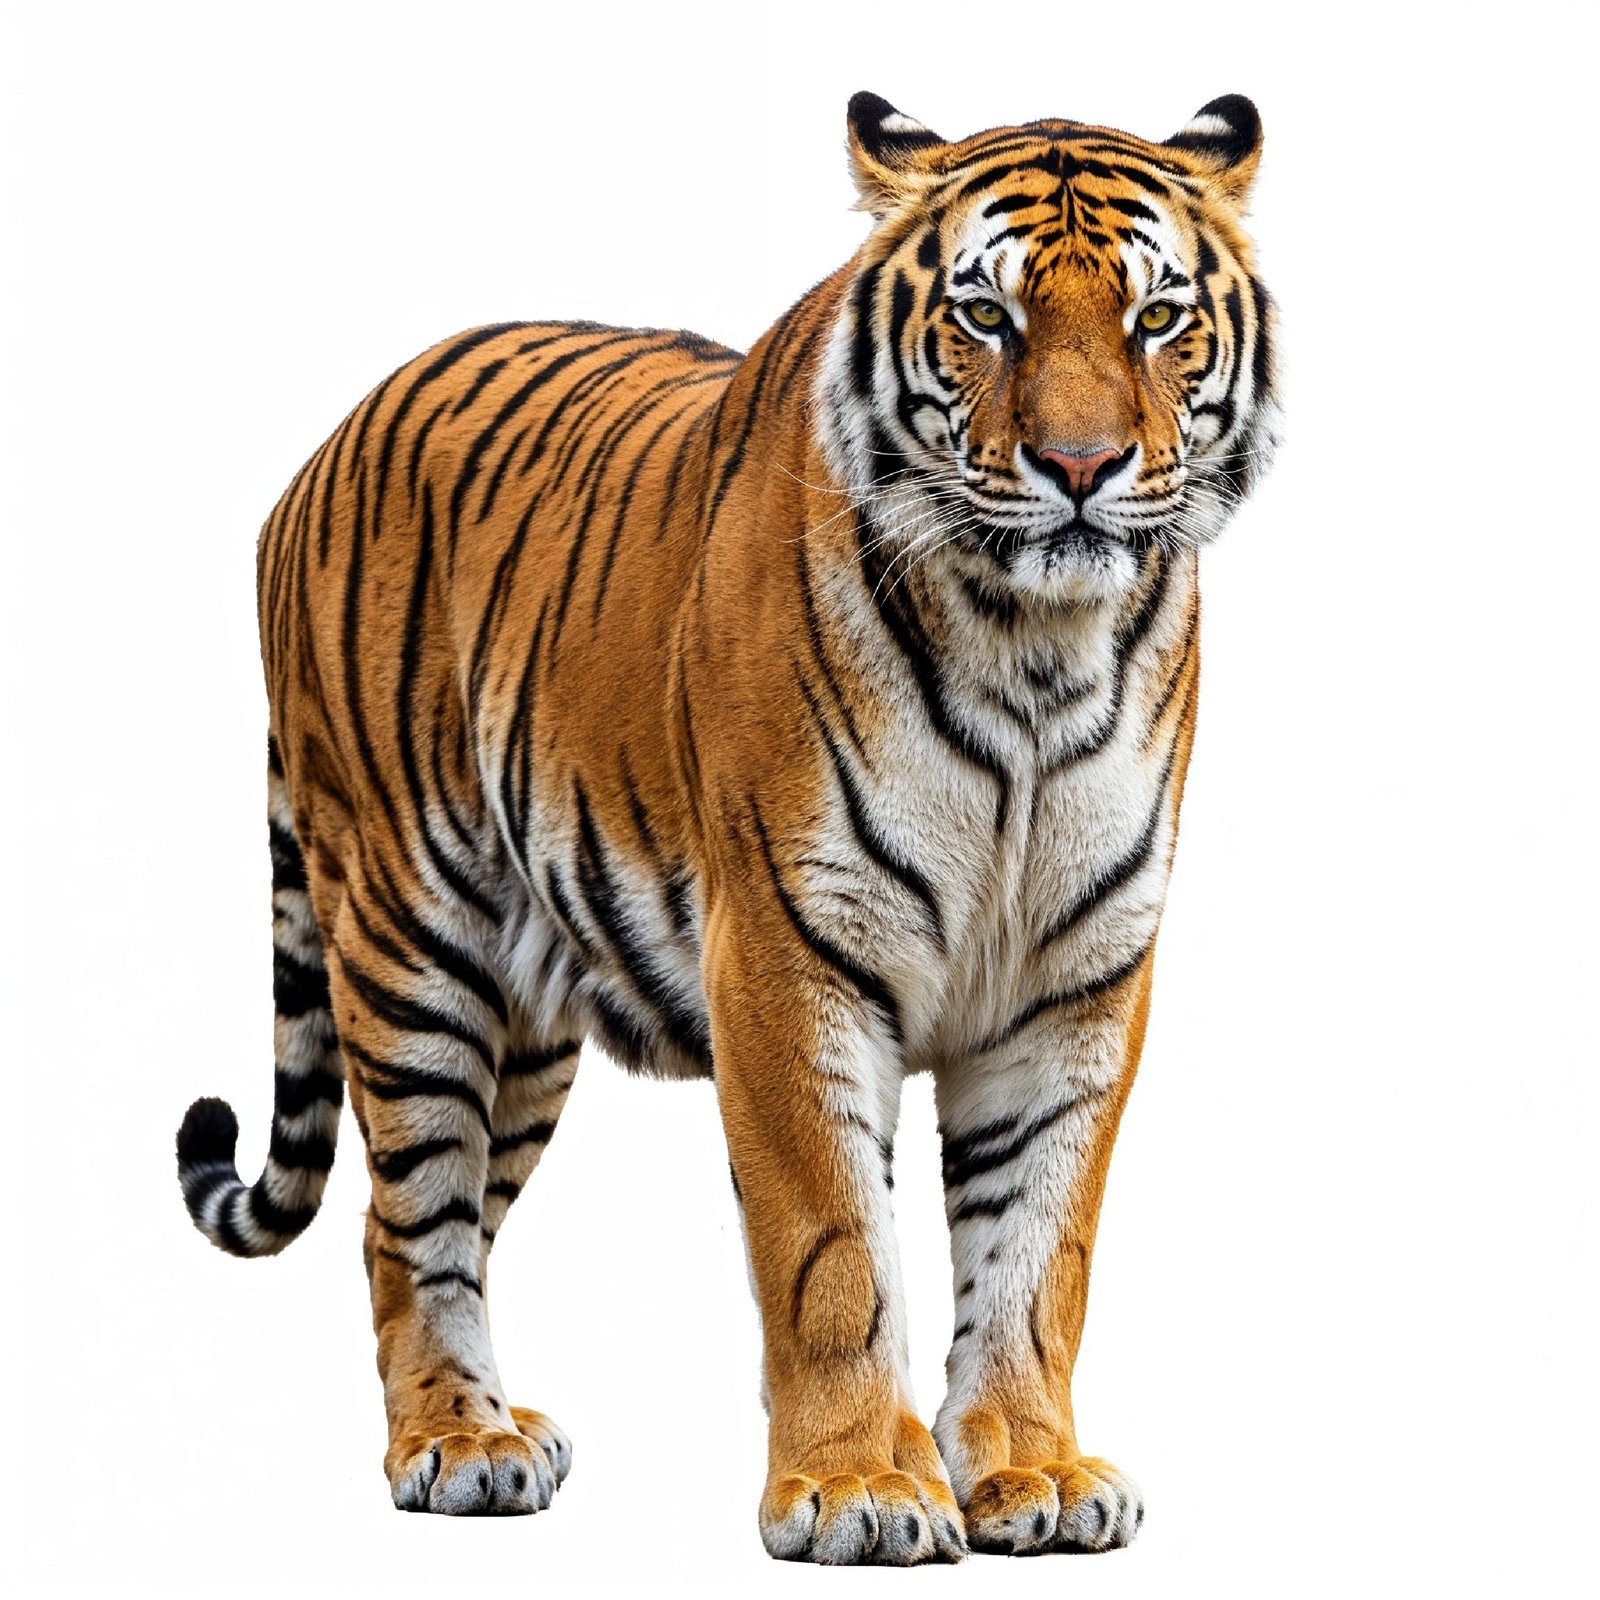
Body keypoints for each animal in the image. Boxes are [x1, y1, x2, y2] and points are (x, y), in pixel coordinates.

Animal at [175, 90, 1279, 1563]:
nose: (1082, 466)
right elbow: (833, 1245)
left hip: (528, 1020)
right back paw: (458, 1443)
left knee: (441, 1208)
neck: (1034, 649)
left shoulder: (1079, 978)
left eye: (1158, 317)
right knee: (401, 1217)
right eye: (987, 317)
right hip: (408, 941)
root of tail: (321, 449)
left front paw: (1029, 1469)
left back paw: (506, 1422)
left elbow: (1039, 1249)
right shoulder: (788, 949)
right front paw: (859, 1487)